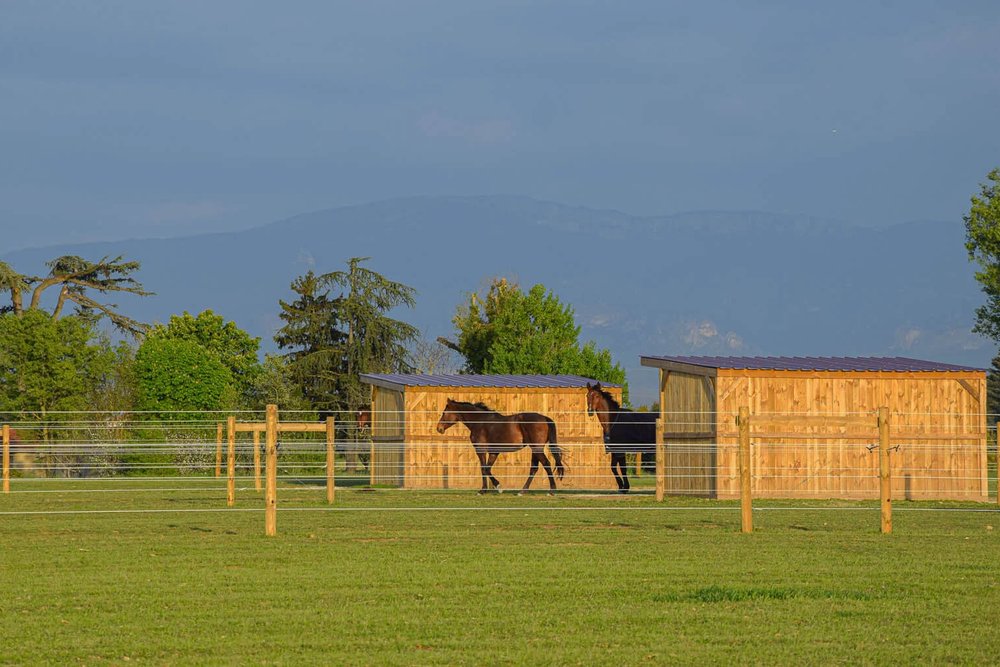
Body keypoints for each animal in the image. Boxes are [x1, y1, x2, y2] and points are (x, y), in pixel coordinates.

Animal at [435, 399, 564, 494]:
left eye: (444, 413)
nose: (439, 428)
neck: (480, 422)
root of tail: (544, 418)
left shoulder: (480, 450)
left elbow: (484, 468)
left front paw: (488, 489)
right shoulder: (494, 452)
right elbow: (488, 468)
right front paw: (496, 487)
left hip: (537, 449)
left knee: (546, 464)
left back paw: (552, 490)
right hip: (535, 449)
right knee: (534, 468)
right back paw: (522, 491)